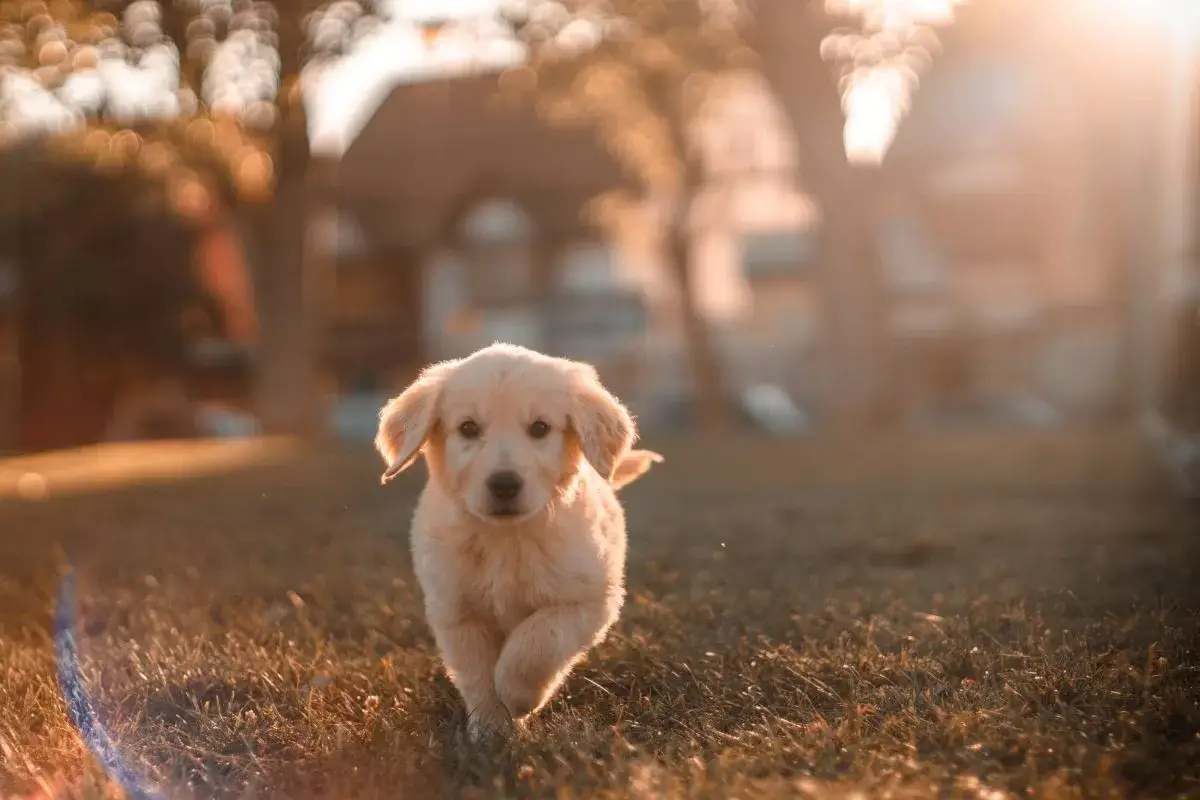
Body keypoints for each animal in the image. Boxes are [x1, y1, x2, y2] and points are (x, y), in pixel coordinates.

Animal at [379, 340, 652, 743]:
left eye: (539, 428)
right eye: (468, 428)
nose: (504, 484)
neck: (506, 538)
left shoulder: (587, 600)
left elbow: (537, 642)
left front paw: (518, 696)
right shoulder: (458, 612)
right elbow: (477, 676)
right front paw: (491, 729)